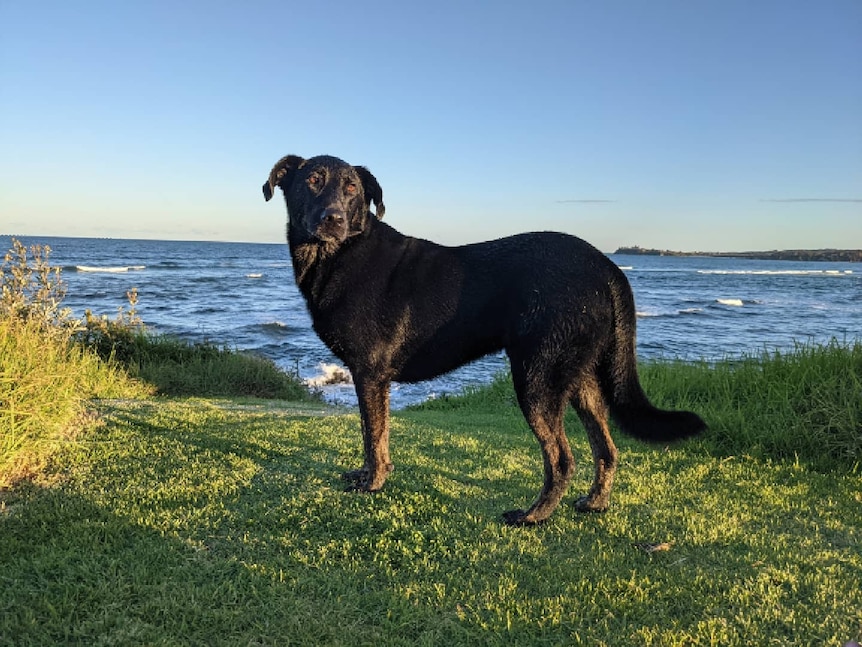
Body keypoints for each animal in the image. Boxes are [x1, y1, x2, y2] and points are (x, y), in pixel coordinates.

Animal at [264, 156, 708, 528]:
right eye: (312, 181)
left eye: (352, 188)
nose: (333, 219)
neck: (338, 254)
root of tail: (606, 266)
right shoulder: (368, 377)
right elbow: (372, 434)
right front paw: (366, 475)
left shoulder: (370, 373)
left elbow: (375, 437)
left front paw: (372, 483)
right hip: (578, 378)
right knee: (607, 448)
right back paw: (594, 503)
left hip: (536, 378)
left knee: (562, 459)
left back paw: (533, 516)